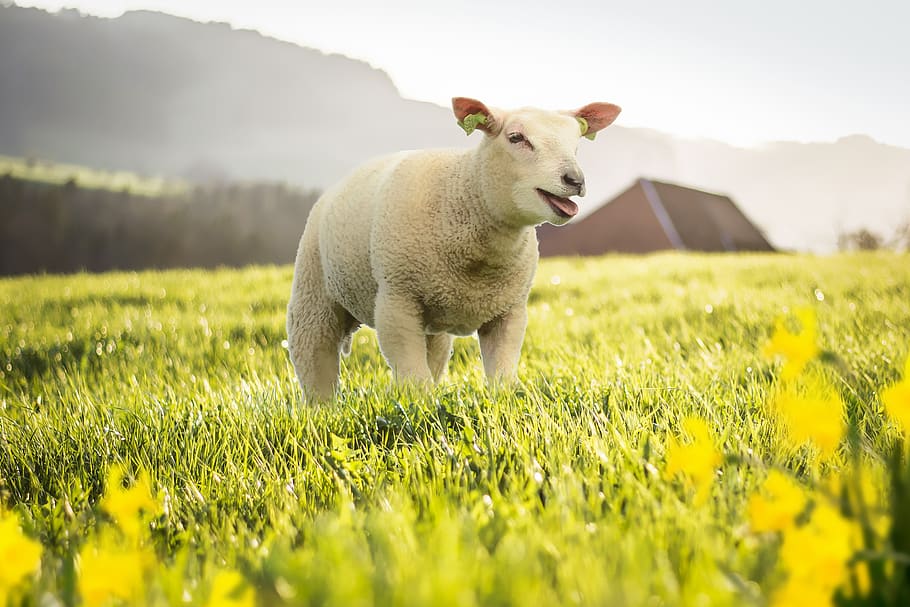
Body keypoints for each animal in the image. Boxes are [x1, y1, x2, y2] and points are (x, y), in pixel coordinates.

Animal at [286, 97, 621, 400]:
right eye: (516, 138)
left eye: (577, 143)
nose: (575, 180)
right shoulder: (396, 300)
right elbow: (413, 380)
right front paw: (419, 413)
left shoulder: (509, 312)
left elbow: (501, 375)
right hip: (313, 293)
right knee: (314, 359)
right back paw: (322, 409)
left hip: (432, 321)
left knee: (433, 357)